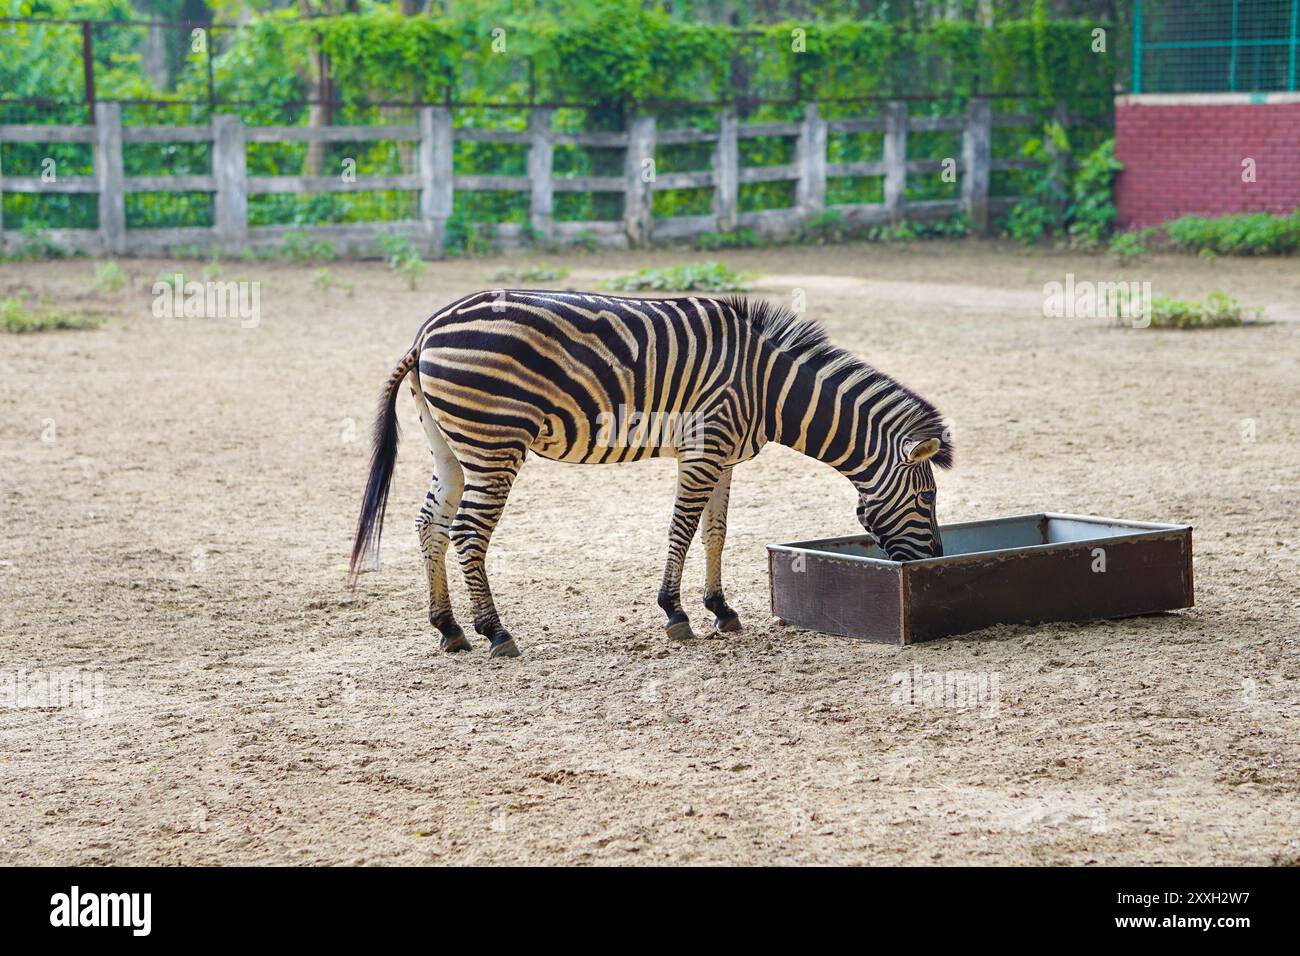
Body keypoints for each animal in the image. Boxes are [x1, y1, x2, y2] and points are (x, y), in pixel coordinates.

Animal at [351, 290, 951, 658]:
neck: (768, 388)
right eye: (927, 500)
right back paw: (495, 631)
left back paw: (449, 628)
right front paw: (675, 612)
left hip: (451, 446)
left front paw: (721, 609)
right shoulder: (705, 448)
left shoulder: (724, 455)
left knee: (430, 525)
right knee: (468, 533)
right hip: (494, 443)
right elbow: (681, 530)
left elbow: (716, 532)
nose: (936, 562)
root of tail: (426, 332)